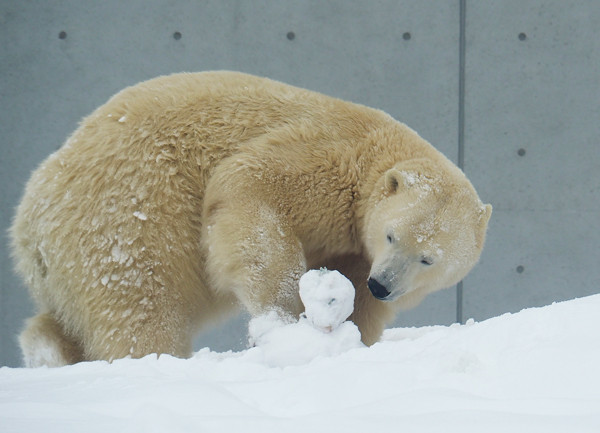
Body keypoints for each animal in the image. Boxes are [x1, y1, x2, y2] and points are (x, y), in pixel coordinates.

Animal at [10, 71, 492, 364]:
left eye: (428, 258)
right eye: (392, 236)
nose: (384, 284)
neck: (374, 150)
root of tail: (28, 225)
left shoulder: (358, 247)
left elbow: (356, 291)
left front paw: (344, 328)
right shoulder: (326, 162)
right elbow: (248, 186)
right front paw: (286, 327)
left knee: (64, 319)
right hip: (129, 213)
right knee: (140, 303)